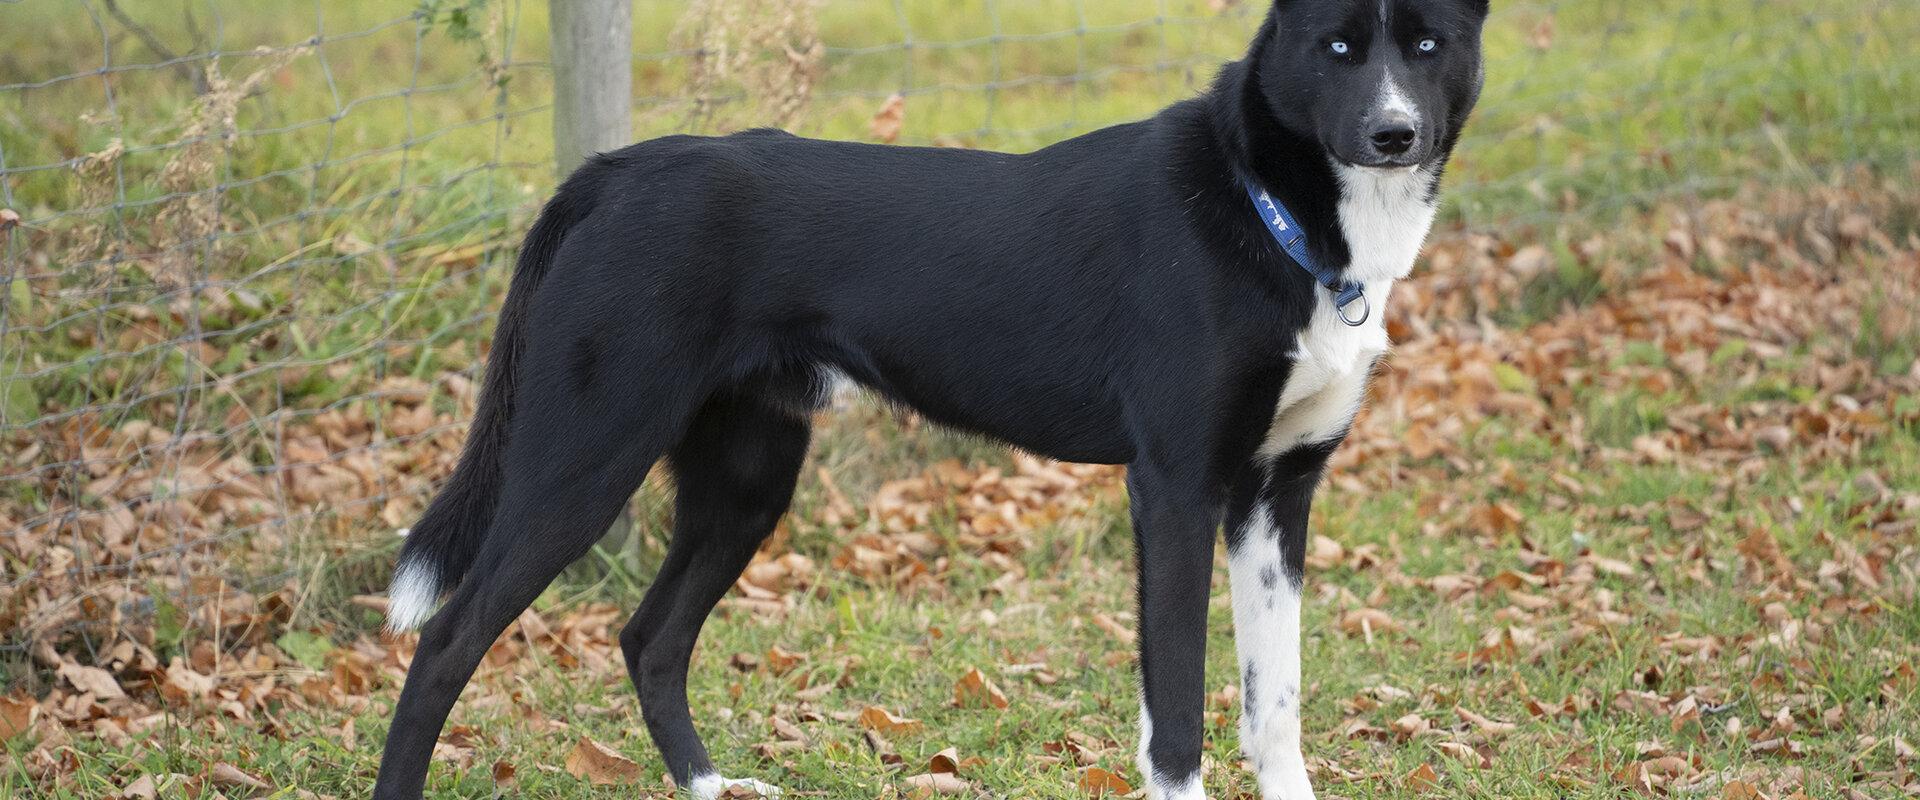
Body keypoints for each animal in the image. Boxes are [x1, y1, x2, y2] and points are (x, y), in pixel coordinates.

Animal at [370, 3, 1482, 794]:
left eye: (1427, 43)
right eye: (1338, 47)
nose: (1393, 134)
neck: (1270, 210)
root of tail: (616, 168)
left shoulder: (1274, 496)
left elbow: (1274, 705)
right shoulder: (1175, 491)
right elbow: (1175, 717)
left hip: (746, 480)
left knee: (651, 638)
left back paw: (711, 784)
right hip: (582, 462)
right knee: (445, 645)